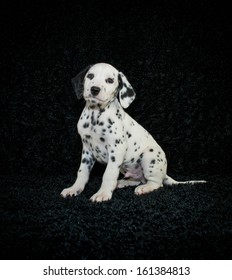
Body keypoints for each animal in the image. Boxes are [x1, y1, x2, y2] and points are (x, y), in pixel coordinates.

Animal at [59, 62, 205, 202]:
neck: (95, 117)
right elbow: (82, 172)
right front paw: (74, 189)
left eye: (110, 80)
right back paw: (121, 183)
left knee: (157, 183)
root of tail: (164, 173)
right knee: (137, 180)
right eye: (90, 76)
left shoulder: (116, 149)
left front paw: (103, 193)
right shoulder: (87, 150)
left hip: (149, 156)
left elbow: (108, 174)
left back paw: (145, 188)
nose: (94, 89)